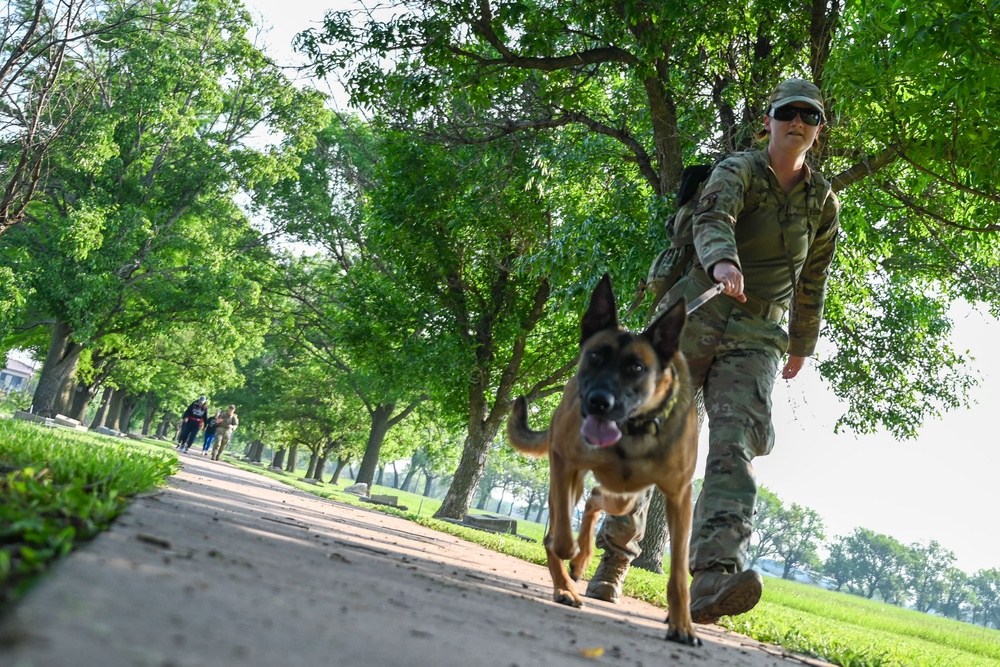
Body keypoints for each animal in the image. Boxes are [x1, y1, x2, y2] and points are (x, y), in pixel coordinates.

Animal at [504, 272, 700, 648]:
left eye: (636, 368)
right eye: (595, 356)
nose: (599, 402)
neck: (632, 431)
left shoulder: (679, 497)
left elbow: (680, 573)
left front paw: (683, 625)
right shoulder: (563, 461)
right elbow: (559, 538)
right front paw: (570, 558)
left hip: (626, 498)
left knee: (596, 500)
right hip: (574, 480)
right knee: (568, 520)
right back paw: (567, 584)